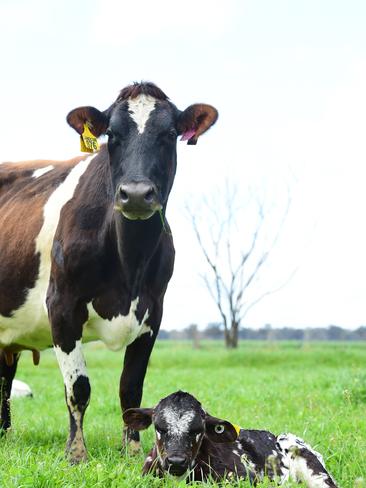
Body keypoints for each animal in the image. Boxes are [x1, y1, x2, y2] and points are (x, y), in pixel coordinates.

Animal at [0, 82, 217, 464]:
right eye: (111, 135)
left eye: (169, 134)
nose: (136, 194)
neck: (129, 261)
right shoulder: (62, 305)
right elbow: (78, 387)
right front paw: (76, 453)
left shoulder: (153, 313)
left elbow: (131, 388)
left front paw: (133, 449)